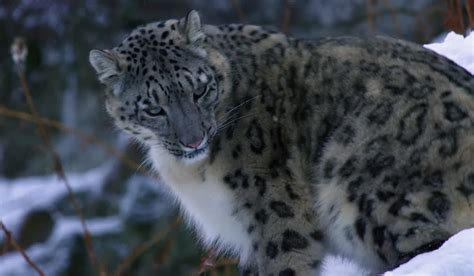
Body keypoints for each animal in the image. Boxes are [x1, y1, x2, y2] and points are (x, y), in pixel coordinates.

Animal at [90, 9, 474, 274]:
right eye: (154, 108)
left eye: (199, 90)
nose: (193, 140)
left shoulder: (274, 212)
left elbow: (286, 260)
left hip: (363, 186)